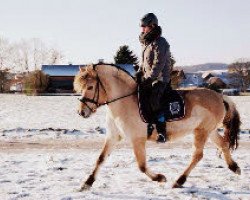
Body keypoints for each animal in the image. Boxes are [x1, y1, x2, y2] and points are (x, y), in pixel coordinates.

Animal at [73, 63, 241, 191]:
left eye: (90, 87)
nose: (81, 112)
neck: (123, 103)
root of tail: (220, 96)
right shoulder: (113, 136)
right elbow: (100, 159)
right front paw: (87, 183)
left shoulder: (137, 139)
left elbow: (141, 165)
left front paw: (160, 178)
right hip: (209, 131)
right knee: (223, 144)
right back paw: (234, 167)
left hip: (202, 131)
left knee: (197, 155)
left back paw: (179, 181)